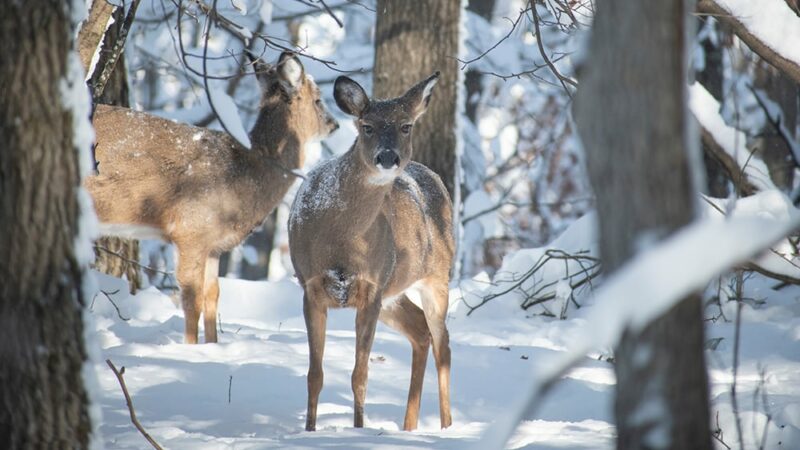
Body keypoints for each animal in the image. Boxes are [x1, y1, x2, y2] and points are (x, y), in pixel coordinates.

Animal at [86, 51, 340, 342]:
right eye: (318, 99)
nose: (335, 124)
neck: (244, 174)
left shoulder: (214, 245)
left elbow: (213, 296)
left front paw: (213, 345)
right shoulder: (190, 229)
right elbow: (191, 298)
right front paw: (191, 347)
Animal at [288, 74, 454, 432]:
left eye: (406, 126)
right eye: (367, 126)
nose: (388, 158)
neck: (342, 242)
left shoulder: (372, 288)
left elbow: (359, 375)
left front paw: (358, 429)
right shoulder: (311, 286)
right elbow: (314, 375)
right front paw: (309, 431)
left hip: (436, 276)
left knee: (443, 344)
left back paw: (447, 426)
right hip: (394, 291)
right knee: (420, 333)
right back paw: (409, 426)